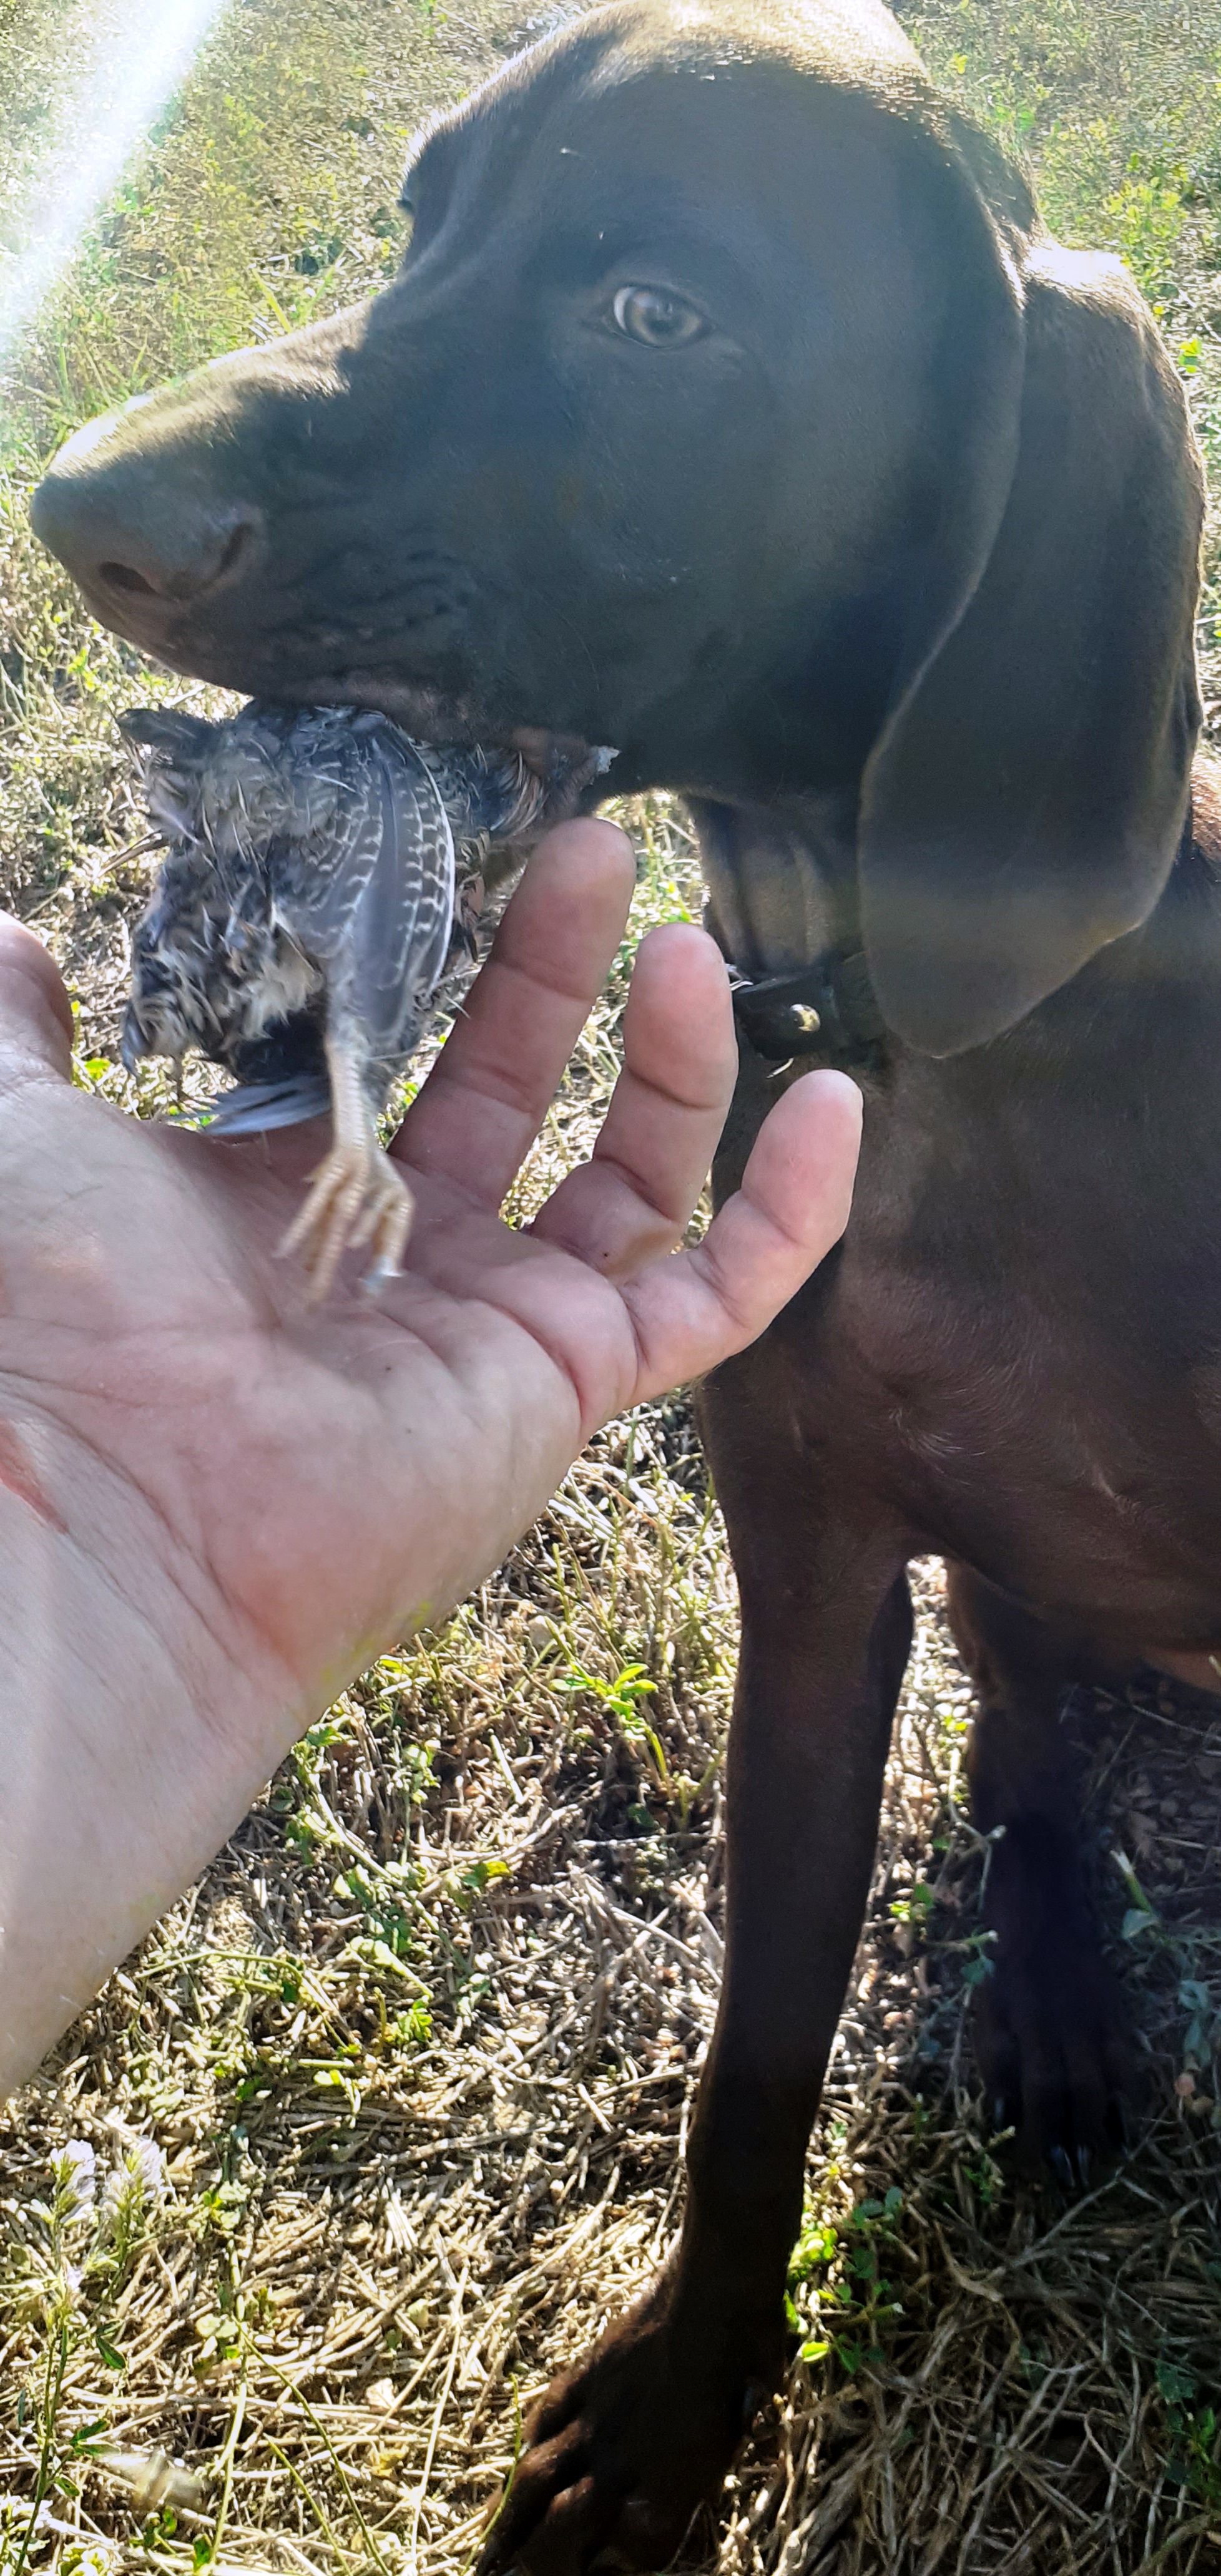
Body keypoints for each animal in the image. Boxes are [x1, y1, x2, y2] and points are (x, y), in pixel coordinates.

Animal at [32, 1, 1217, 2564]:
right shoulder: (816, 1567)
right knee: (1023, 1736)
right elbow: (755, 2042)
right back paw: (1056, 1988)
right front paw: (684, 2396)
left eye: (652, 314)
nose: (73, 506)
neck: (943, 1050)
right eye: (419, 220)